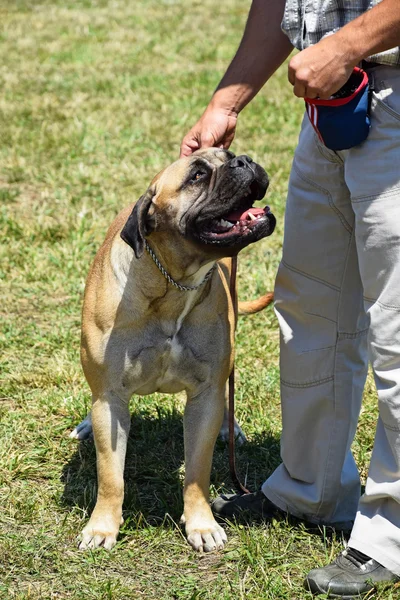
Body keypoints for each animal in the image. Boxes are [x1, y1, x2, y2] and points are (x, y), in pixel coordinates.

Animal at [71, 146, 276, 552]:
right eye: (197, 175)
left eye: (229, 153)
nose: (244, 160)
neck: (173, 285)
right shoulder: (111, 401)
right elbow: (110, 475)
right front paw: (102, 527)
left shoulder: (204, 396)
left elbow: (197, 470)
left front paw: (201, 523)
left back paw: (231, 428)